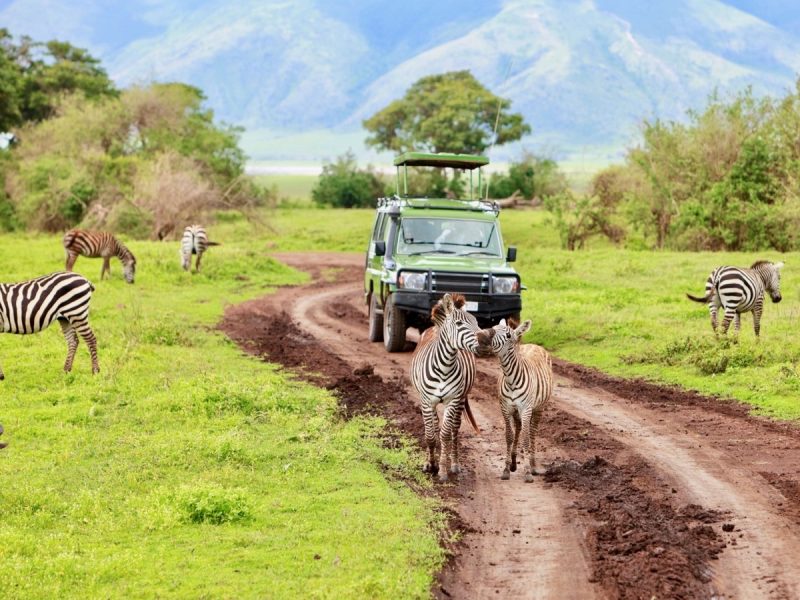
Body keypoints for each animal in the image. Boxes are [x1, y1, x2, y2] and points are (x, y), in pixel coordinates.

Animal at [412, 292, 482, 482]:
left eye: (476, 322)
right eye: (459, 324)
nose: (485, 339)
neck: (444, 366)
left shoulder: (453, 400)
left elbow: (445, 435)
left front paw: (442, 470)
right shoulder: (426, 401)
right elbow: (430, 435)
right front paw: (430, 464)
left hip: (461, 399)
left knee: (454, 430)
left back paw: (454, 464)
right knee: (435, 426)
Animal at [478, 318, 552, 482]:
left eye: (507, 335)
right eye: (493, 327)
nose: (481, 336)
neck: (511, 379)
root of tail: (534, 345)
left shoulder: (526, 409)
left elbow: (526, 438)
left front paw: (527, 472)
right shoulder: (505, 408)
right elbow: (509, 436)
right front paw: (506, 469)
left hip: (539, 408)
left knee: (532, 432)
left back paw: (533, 465)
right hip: (517, 411)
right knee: (518, 428)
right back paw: (513, 462)